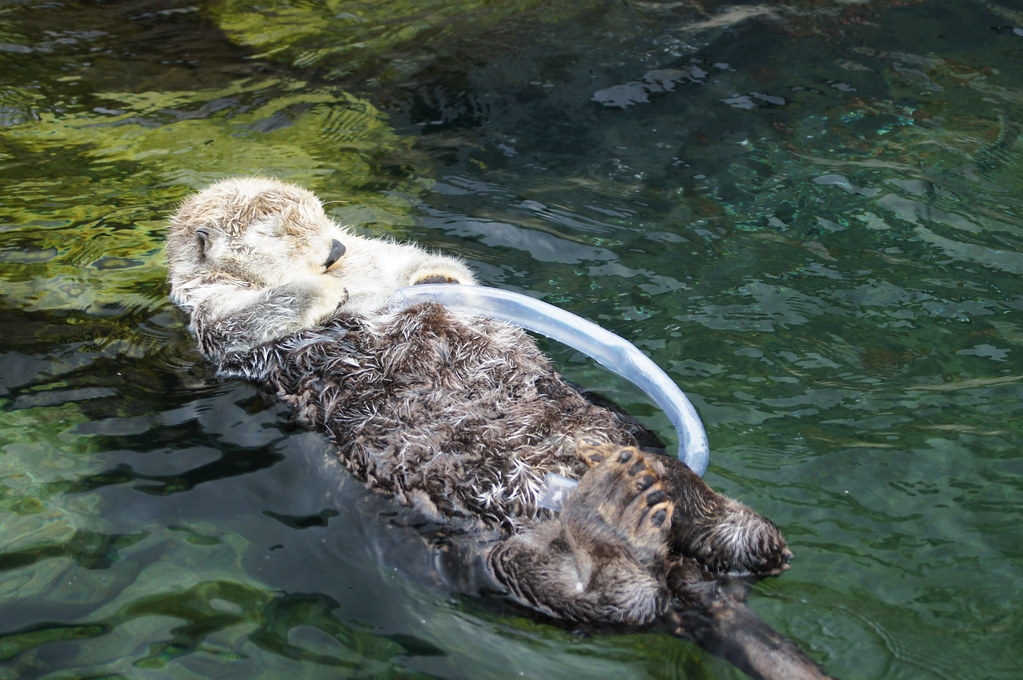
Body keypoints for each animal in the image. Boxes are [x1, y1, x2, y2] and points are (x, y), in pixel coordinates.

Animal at [165, 177, 833, 680]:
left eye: (324, 215)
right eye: (281, 232)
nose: (331, 250)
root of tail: (683, 576)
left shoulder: (379, 253)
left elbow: (432, 264)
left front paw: (431, 283)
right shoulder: (210, 317)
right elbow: (244, 318)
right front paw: (322, 289)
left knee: (753, 549)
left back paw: (676, 496)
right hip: (469, 558)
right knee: (615, 598)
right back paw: (623, 513)